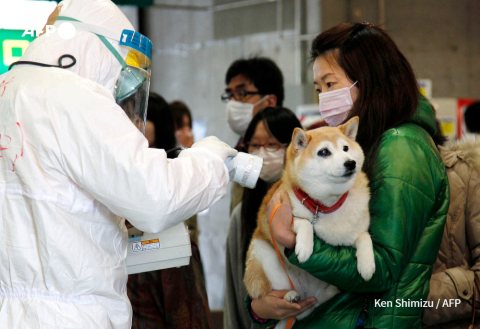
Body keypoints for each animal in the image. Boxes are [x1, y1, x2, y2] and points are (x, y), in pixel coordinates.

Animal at [244, 116, 376, 326]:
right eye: (324, 152)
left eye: (346, 148)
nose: (350, 163)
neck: (325, 205)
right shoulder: (283, 214)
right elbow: (304, 222)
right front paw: (305, 247)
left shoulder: (353, 232)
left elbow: (364, 236)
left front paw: (367, 264)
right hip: (263, 254)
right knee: (275, 294)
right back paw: (290, 296)